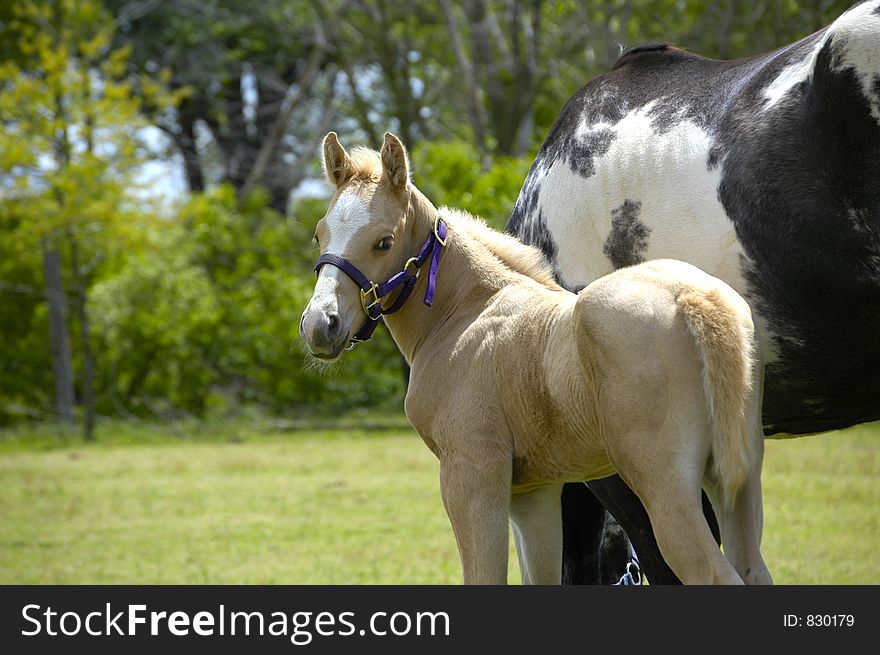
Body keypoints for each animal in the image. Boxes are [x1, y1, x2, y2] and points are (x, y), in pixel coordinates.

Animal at [300, 132, 768, 584]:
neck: (464, 312)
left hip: (663, 487)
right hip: (735, 479)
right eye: (319, 234)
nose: (320, 325)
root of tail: (694, 299)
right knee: (753, 568)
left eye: (384, 241)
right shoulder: (532, 493)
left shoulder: (471, 474)